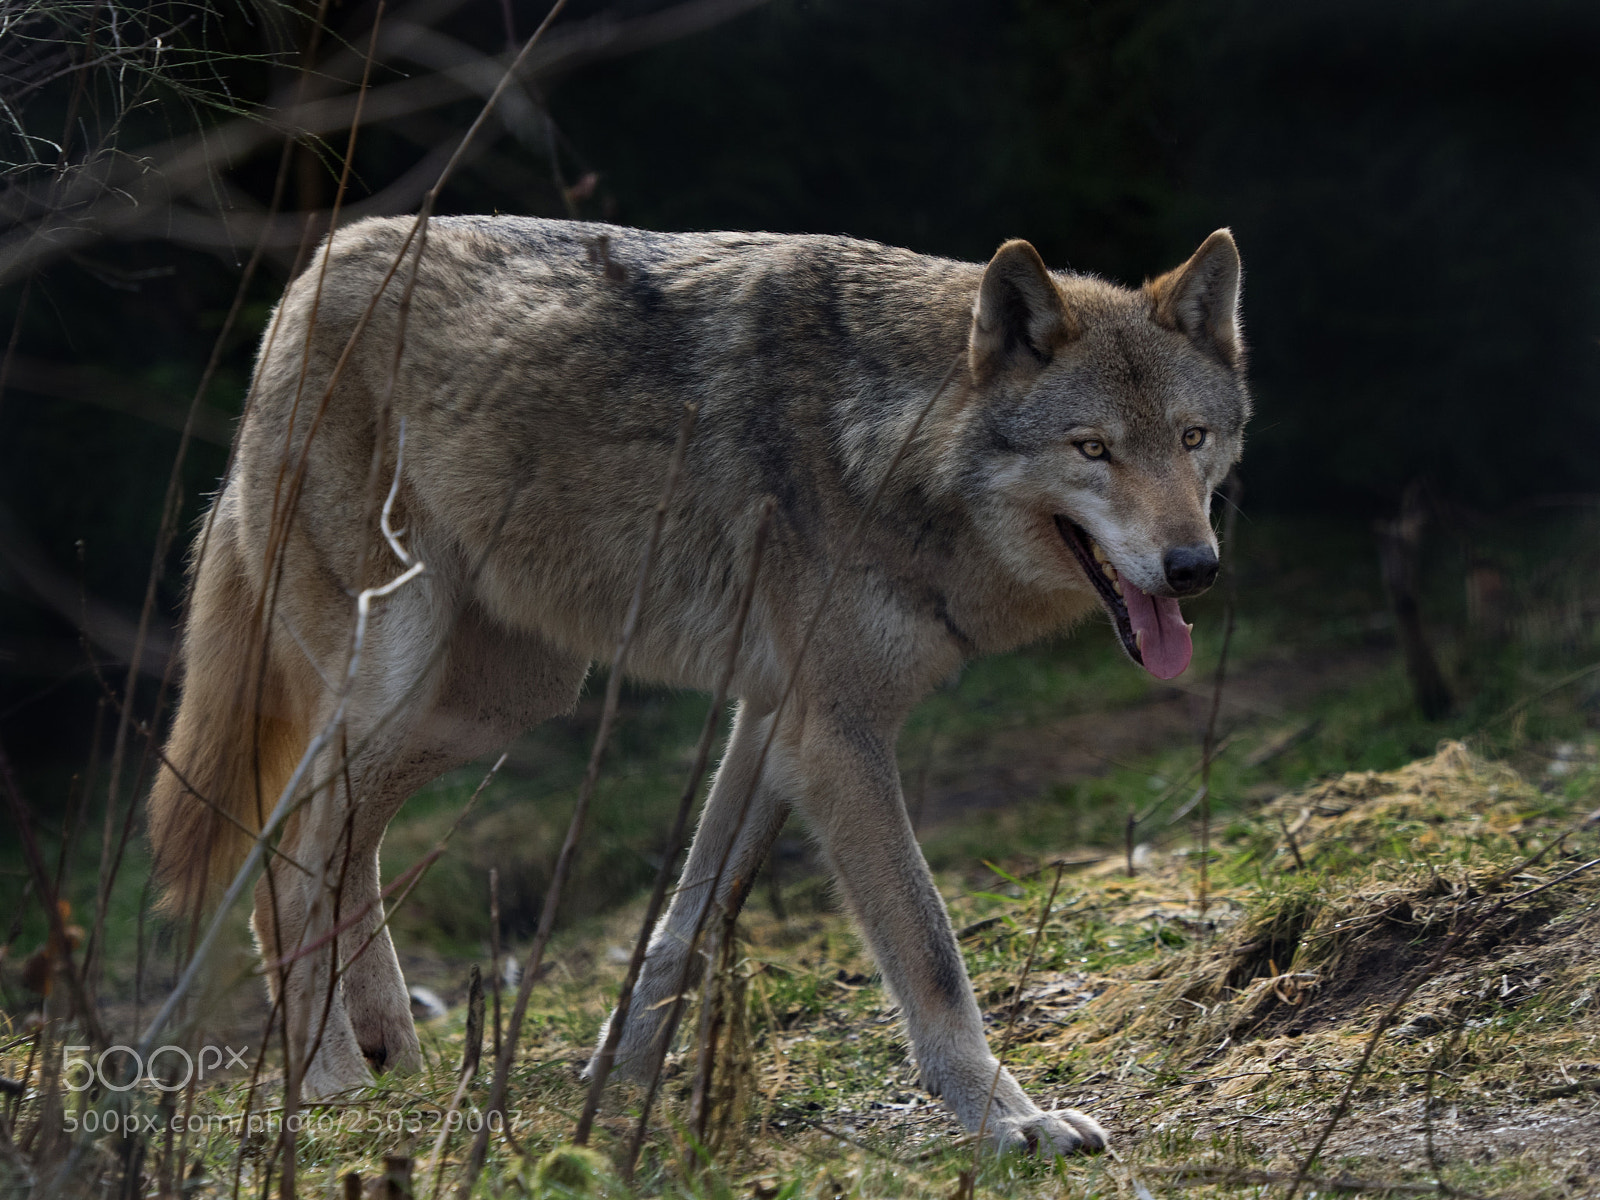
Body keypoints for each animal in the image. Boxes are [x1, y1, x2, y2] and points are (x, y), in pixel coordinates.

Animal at [147, 215, 1248, 1154]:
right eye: (1093, 448)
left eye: (1190, 439)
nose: (1194, 567)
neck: (887, 446)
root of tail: (307, 275)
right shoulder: (835, 736)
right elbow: (928, 950)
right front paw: (1007, 1119)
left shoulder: (772, 722)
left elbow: (689, 926)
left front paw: (614, 1088)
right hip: (405, 674)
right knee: (288, 867)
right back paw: (330, 1082)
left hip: (493, 703)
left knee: (339, 850)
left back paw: (398, 1058)